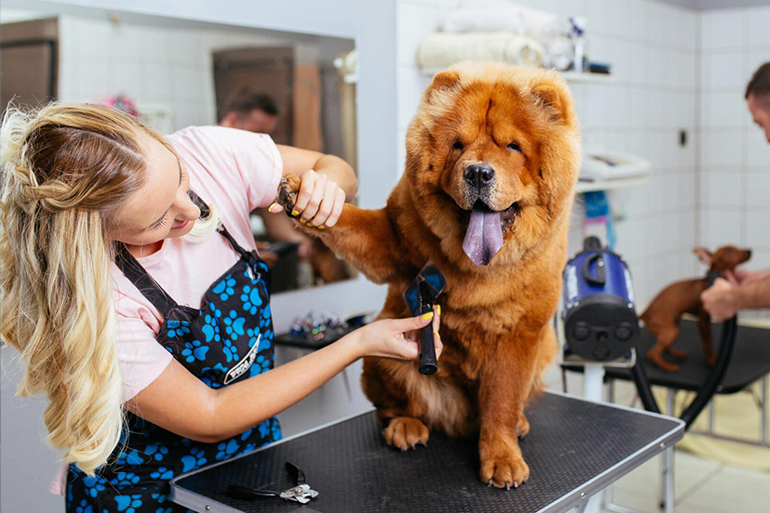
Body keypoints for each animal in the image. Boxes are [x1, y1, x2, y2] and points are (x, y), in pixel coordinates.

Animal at [274, 61, 576, 488]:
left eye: (512, 147)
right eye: (458, 145)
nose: (478, 173)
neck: (478, 267)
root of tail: (461, 418)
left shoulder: (519, 334)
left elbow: (502, 399)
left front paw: (501, 456)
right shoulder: (393, 235)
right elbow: (352, 222)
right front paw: (305, 196)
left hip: (544, 348)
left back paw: (517, 425)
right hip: (382, 359)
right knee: (395, 407)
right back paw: (405, 428)